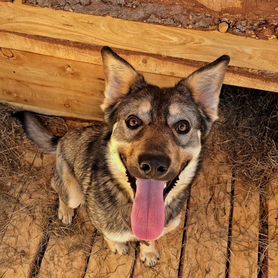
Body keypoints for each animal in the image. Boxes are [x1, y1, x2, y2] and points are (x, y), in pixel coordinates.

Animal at [16, 46, 230, 266]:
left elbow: (149, 240)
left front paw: (148, 252)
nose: (154, 165)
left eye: (182, 126)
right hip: (73, 192)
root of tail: (62, 138)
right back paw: (65, 210)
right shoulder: (103, 224)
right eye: (133, 121)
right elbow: (109, 235)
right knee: (58, 187)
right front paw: (117, 246)